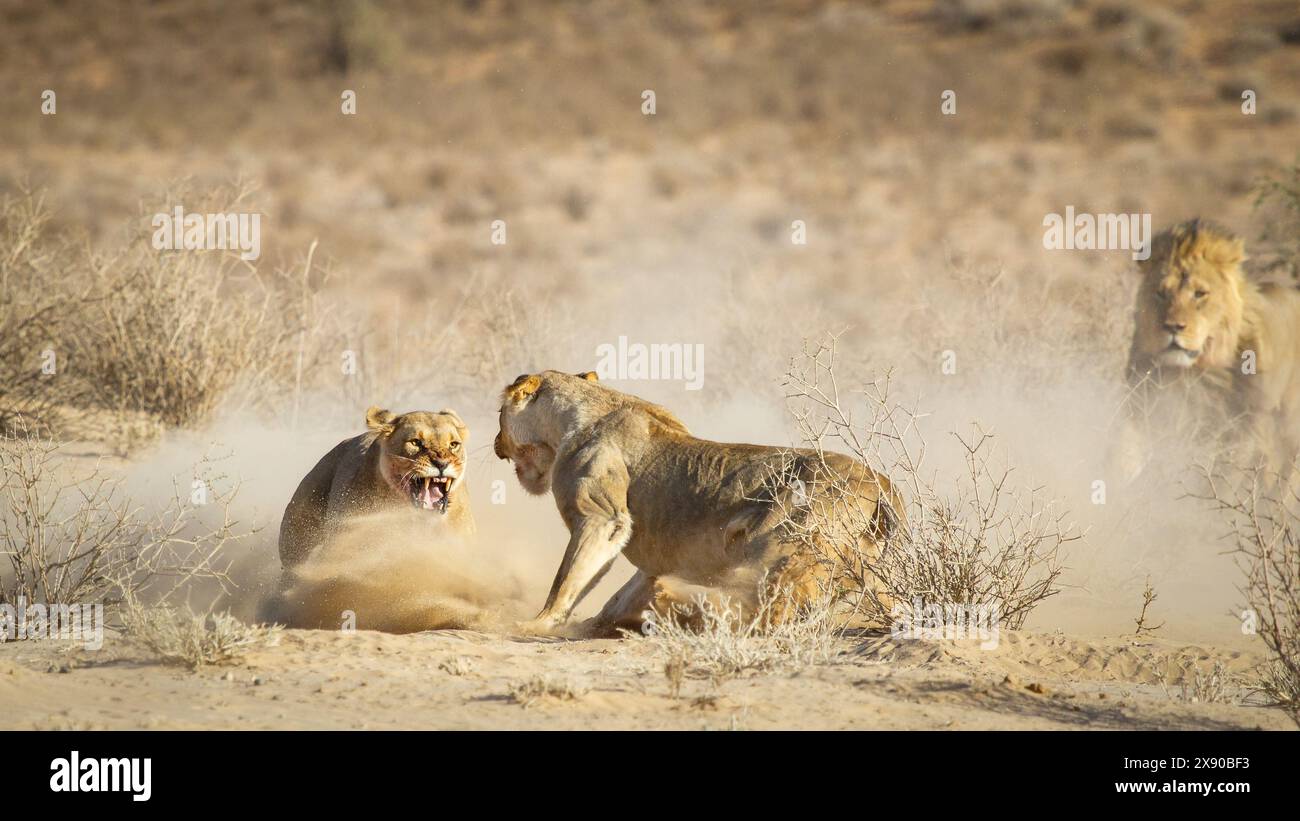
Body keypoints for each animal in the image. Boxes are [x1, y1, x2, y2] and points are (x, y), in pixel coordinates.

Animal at [491, 371, 899, 633]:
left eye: (499, 415)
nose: (495, 443)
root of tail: (882, 483)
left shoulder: (602, 517)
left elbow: (568, 577)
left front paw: (539, 623)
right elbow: (615, 593)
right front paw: (598, 621)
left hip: (780, 540)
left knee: (767, 605)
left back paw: (674, 601)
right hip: (863, 567)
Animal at [1112, 220, 1300, 483]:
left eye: (1199, 293)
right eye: (1161, 293)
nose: (1173, 327)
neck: (1191, 373)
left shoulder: (1243, 431)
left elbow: (1222, 480)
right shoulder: (1142, 403)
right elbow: (1123, 449)